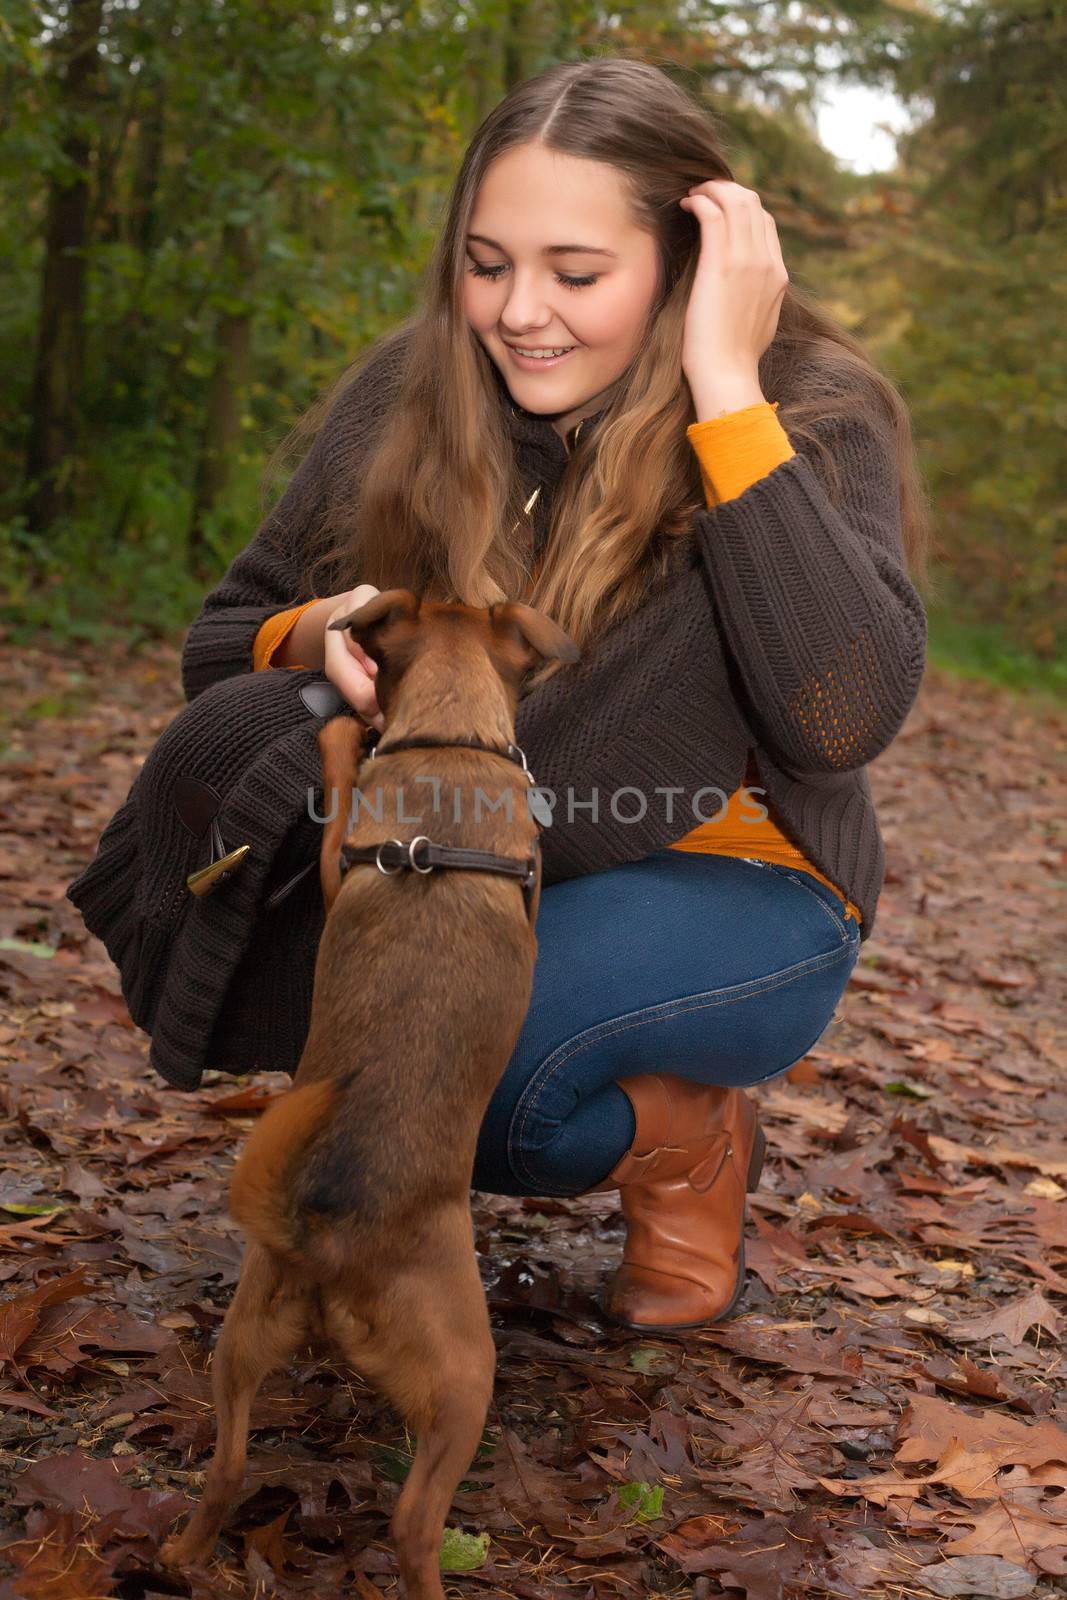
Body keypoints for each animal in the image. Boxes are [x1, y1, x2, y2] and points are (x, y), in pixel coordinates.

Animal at [164, 595, 585, 1600]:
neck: (449, 736)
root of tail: (326, 1241)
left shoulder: (333, 863)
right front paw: (343, 732)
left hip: (243, 1340)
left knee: (227, 1470)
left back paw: (178, 1557)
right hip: (465, 1380)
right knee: (413, 1524)